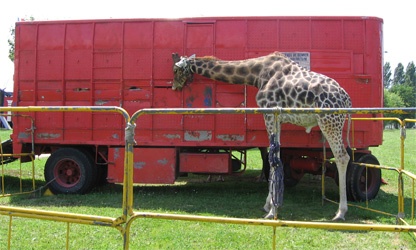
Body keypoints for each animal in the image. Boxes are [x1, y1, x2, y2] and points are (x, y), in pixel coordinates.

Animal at [171, 51, 352, 220]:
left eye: (175, 69)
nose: (174, 86)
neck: (256, 74)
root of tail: (347, 100)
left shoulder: (269, 112)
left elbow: (272, 159)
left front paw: (272, 210)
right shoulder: (277, 117)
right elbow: (275, 157)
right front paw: (269, 205)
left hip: (329, 121)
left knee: (342, 156)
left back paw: (340, 212)